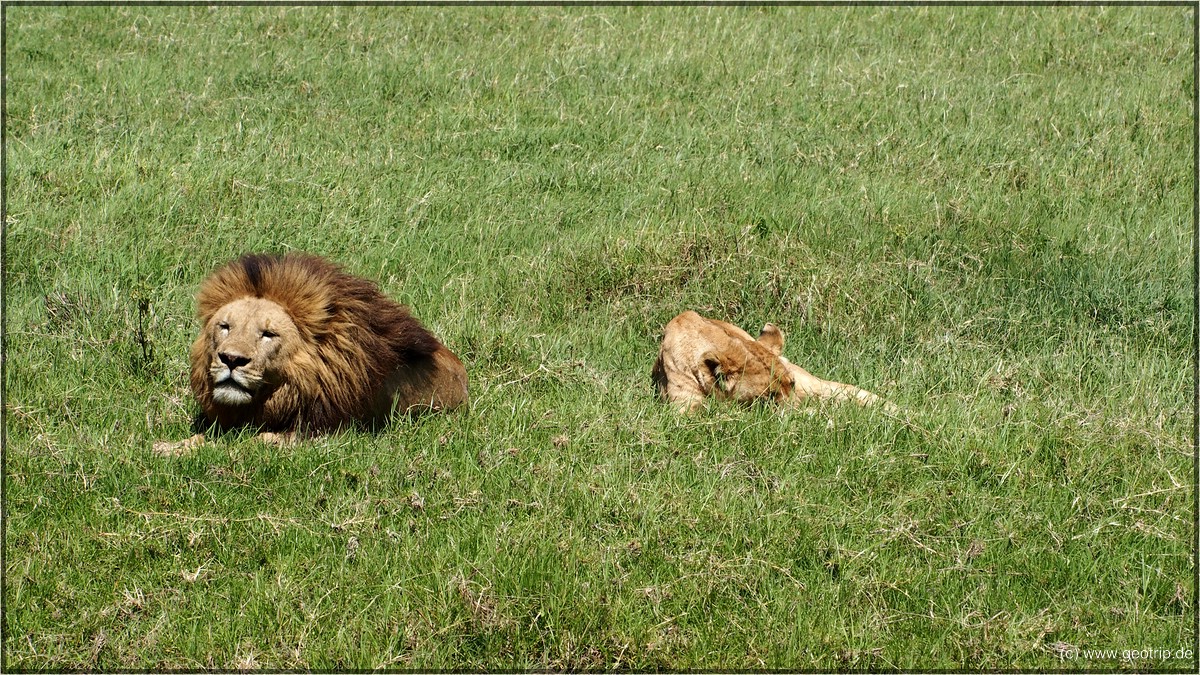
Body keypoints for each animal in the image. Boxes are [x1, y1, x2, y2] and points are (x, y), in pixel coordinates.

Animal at [151, 252, 468, 451]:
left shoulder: (329, 431)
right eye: (225, 327)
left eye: (268, 334)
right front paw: (166, 447)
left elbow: (253, 443)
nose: (231, 359)